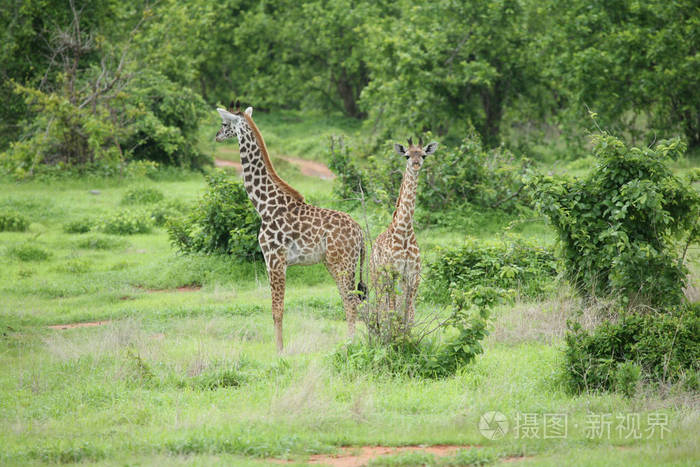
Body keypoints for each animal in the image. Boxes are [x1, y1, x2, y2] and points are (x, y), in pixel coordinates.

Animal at [215, 101, 366, 352]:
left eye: (224, 123)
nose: (216, 135)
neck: (264, 205)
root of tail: (361, 234)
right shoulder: (276, 261)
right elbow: (277, 308)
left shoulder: (274, 259)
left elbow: (277, 310)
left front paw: (279, 352)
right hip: (337, 263)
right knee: (352, 300)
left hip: (342, 262)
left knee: (351, 301)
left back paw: (350, 345)